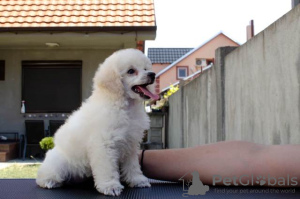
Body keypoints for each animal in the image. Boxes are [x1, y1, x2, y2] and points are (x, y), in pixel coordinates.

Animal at [36, 48, 159, 196]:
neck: (122, 105)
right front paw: (110, 186)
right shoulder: (104, 145)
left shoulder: (131, 144)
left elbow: (133, 166)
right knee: (44, 175)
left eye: (146, 69)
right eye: (131, 71)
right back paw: (49, 181)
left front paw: (137, 180)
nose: (152, 74)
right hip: (59, 162)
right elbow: (107, 168)